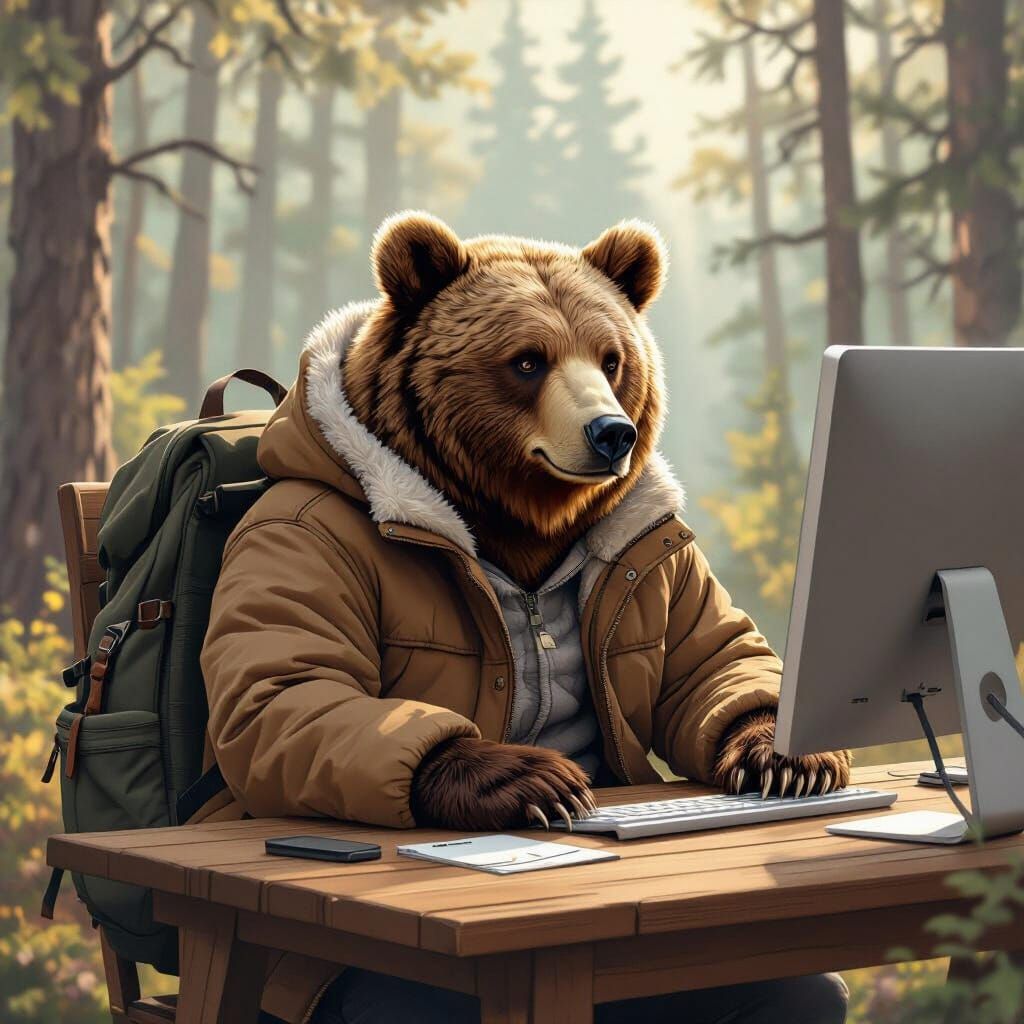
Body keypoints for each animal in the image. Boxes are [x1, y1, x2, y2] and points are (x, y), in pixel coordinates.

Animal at [201, 212, 851, 1024]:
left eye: (612, 357)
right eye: (528, 359)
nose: (612, 432)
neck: (517, 531)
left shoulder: (657, 563)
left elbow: (714, 658)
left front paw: (789, 759)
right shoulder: (305, 536)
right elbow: (293, 691)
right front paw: (540, 780)